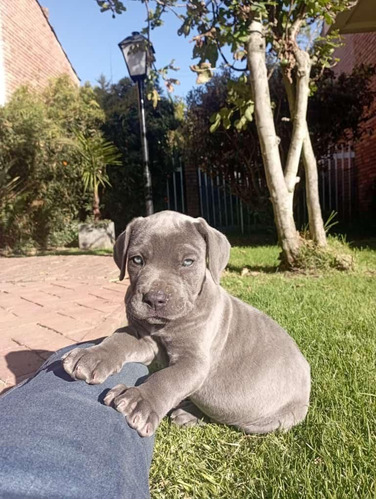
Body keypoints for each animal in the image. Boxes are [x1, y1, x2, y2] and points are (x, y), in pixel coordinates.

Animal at [63, 211, 310, 438]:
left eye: (188, 262)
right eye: (137, 260)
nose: (155, 298)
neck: (166, 326)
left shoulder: (194, 362)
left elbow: (168, 379)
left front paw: (140, 400)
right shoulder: (145, 339)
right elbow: (119, 337)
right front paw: (91, 356)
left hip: (264, 420)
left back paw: (189, 414)